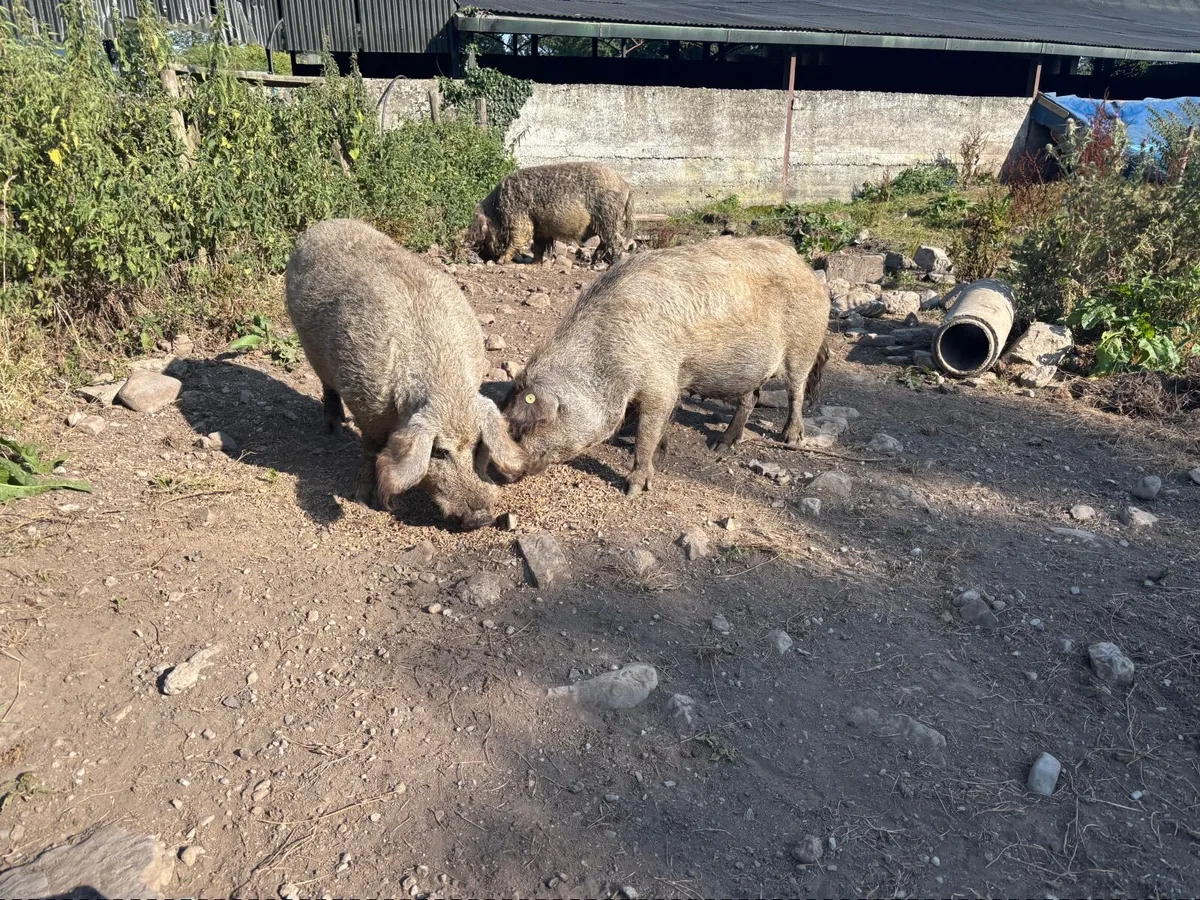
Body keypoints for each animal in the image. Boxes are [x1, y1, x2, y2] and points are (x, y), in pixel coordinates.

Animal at [285, 218, 527, 529]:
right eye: (439, 451)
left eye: (477, 445)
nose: (481, 519)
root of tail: (326, 223)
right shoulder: (368, 408)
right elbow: (372, 451)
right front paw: (367, 502)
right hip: (308, 345)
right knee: (327, 385)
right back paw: (334, 430)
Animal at [466, 162, 635, 266]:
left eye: (479, 232)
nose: (480, 257)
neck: (496, 209)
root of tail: (625, 185)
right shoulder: (541, 227)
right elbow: (538, 245)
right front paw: (534, 263)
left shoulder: (519, 217)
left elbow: (520, 237)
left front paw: (501, 262)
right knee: (604, 242)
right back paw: (592, 262)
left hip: (608, 216)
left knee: (616, 241)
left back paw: (613, 265)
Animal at [503, 236, 830, 496]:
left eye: (525, 427)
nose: (501, 471)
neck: (607, 356)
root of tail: (807, 270)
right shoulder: (671, 384)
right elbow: (663, 423)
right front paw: (661, 453)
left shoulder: (659, 383)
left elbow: (647, 433)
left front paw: (633, 489)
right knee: (752, 397)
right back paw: (720, 446)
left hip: (804, 345)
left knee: (797, 391)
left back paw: (790, 438)